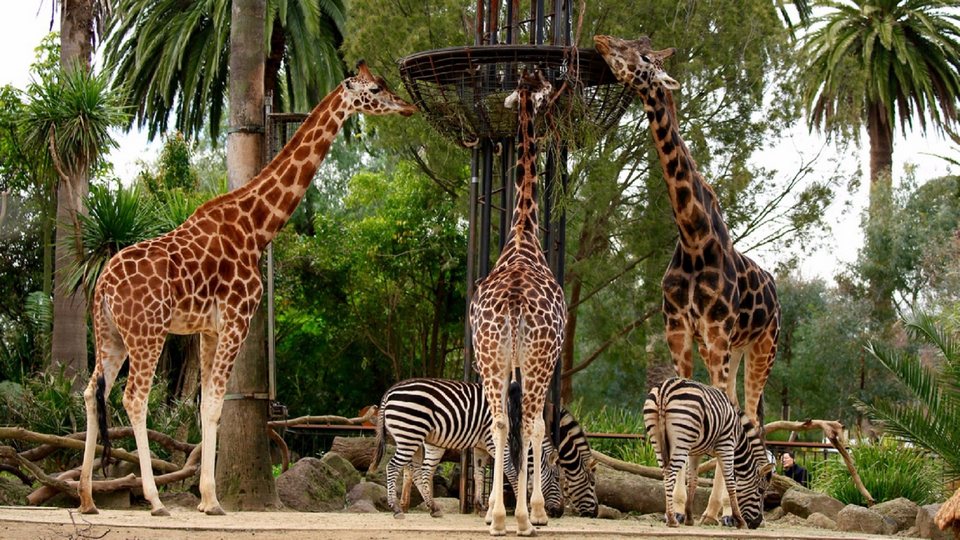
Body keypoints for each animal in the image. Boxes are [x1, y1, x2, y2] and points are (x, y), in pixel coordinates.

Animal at [77, 62, 415, 517]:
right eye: (376, 88)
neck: (257, 227)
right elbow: (216, 404)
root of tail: (102, 288)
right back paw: (154, 500)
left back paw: (86, 498)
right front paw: (212, 500)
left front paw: (206, 498)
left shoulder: (208, 328)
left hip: (111, 335)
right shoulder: (238, 317)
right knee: (133, 398)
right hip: (148, 333)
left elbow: (204, 404)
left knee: (90, 392)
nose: (408, 106)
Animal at [594, 35, 780, 526]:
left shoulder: (714, 335)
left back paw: (728, 510)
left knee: (749, 413)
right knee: (740, 411)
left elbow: (722, 418)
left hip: (761, 349)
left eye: (643, 57)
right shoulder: (678, 333)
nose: (602, 41)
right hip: (736, 351)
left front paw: (711, 510)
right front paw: (681, 505)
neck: (695, 239)